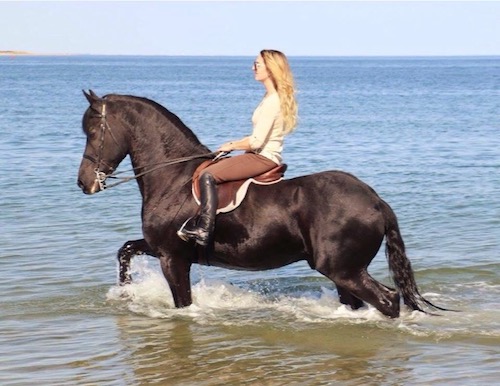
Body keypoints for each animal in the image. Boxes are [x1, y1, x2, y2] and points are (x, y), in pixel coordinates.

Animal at [78, 91, 446, 320]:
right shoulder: (162, 248)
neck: (174, 176)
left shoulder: (172, 257)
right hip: (345, 272)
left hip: (344, 269)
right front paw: (125, 293)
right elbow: (125, 250)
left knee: (388, 300)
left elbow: (183, 304)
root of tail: (375, 200)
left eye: (92, 132)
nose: (84, 183)